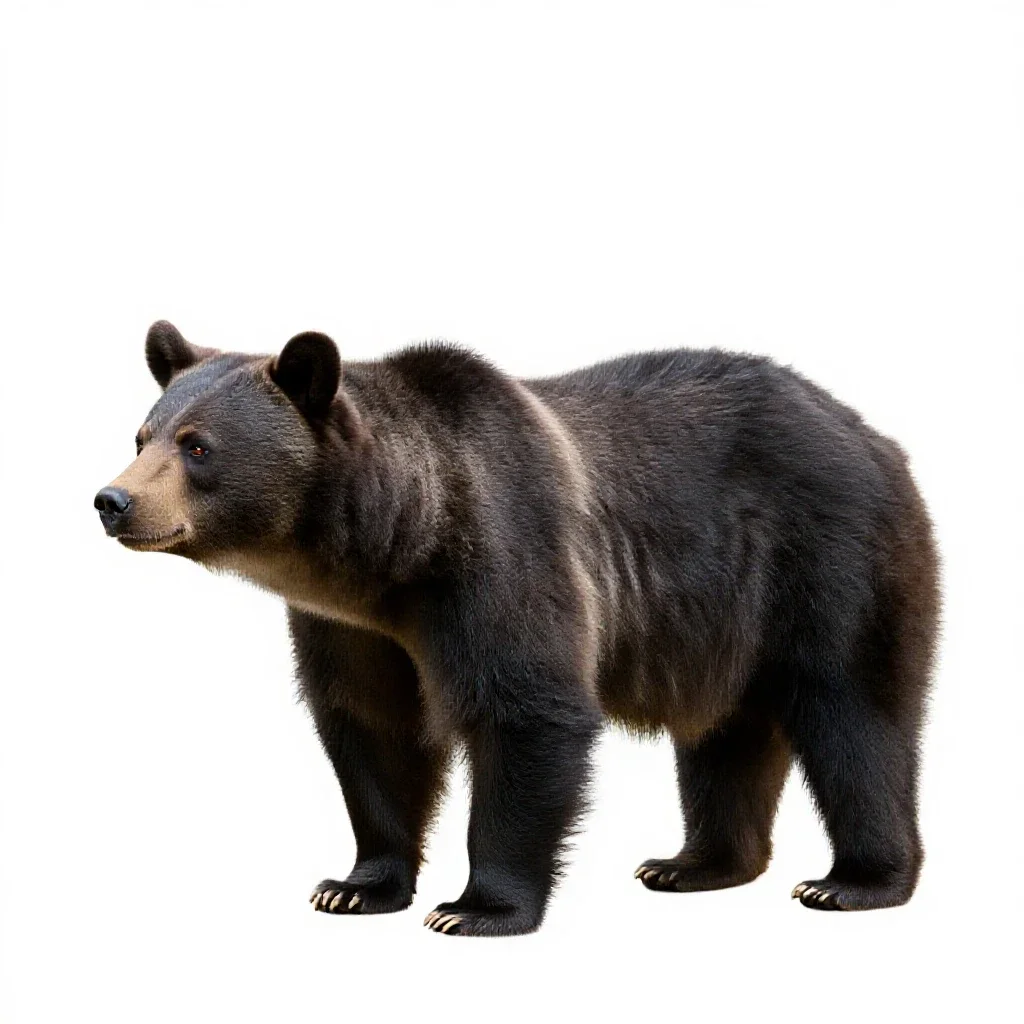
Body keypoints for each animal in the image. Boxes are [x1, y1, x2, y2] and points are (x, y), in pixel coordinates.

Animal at [95, 320, 940, 936]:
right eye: (142, 435)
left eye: (198, 446)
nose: (112, 501)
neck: (396, 549)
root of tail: (873, 433)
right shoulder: (354, 627)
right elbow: (372, 729)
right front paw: (354, 886)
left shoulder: (502, 555)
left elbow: (525, 711)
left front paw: (475, 907)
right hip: (722, 623)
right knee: (725, 733)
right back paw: (693, 864)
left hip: (830, 558)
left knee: (854, 716)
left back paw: (853, 882)